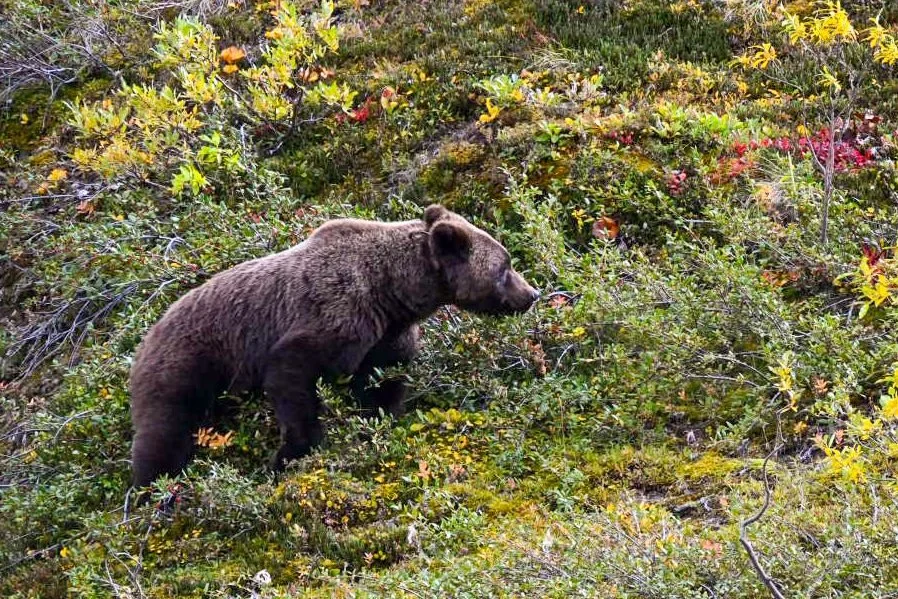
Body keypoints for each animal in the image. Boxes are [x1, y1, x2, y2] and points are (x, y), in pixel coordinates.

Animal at [128, 204, 539, 489]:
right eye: (504, 268)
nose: (532, 294)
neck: (390, 292)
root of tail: (145, 337)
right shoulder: (335, 315)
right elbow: (294, 375)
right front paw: (292, 454)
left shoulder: (386, 336)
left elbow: (382, 382)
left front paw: (376, 422)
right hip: (188, 364)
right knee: (165, 429)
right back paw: (151, 488)